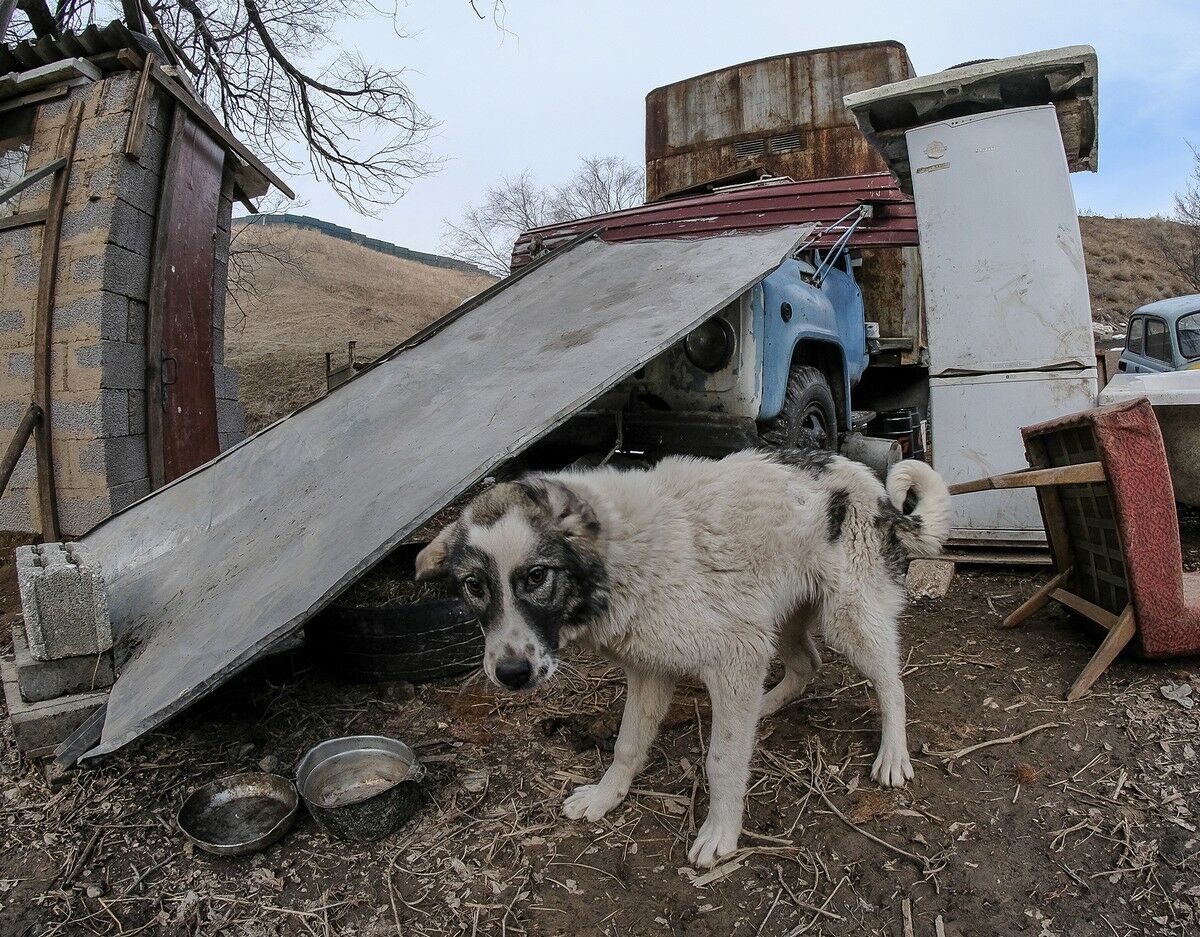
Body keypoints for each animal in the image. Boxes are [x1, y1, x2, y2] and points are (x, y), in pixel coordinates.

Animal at [417, 448, 950, 868]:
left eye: (535, 577)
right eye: (473, 586)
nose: (509, 674)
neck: (621, 556)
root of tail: (867, 479)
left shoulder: (736, 655)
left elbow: (722, 760)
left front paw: (721, 833)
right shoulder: (652, 670)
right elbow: (626, 745)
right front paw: (606, 796)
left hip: (848, 621)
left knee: (891, 683)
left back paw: (893, 754)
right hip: (779, 619)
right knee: (807, 665)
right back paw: (765, 706)